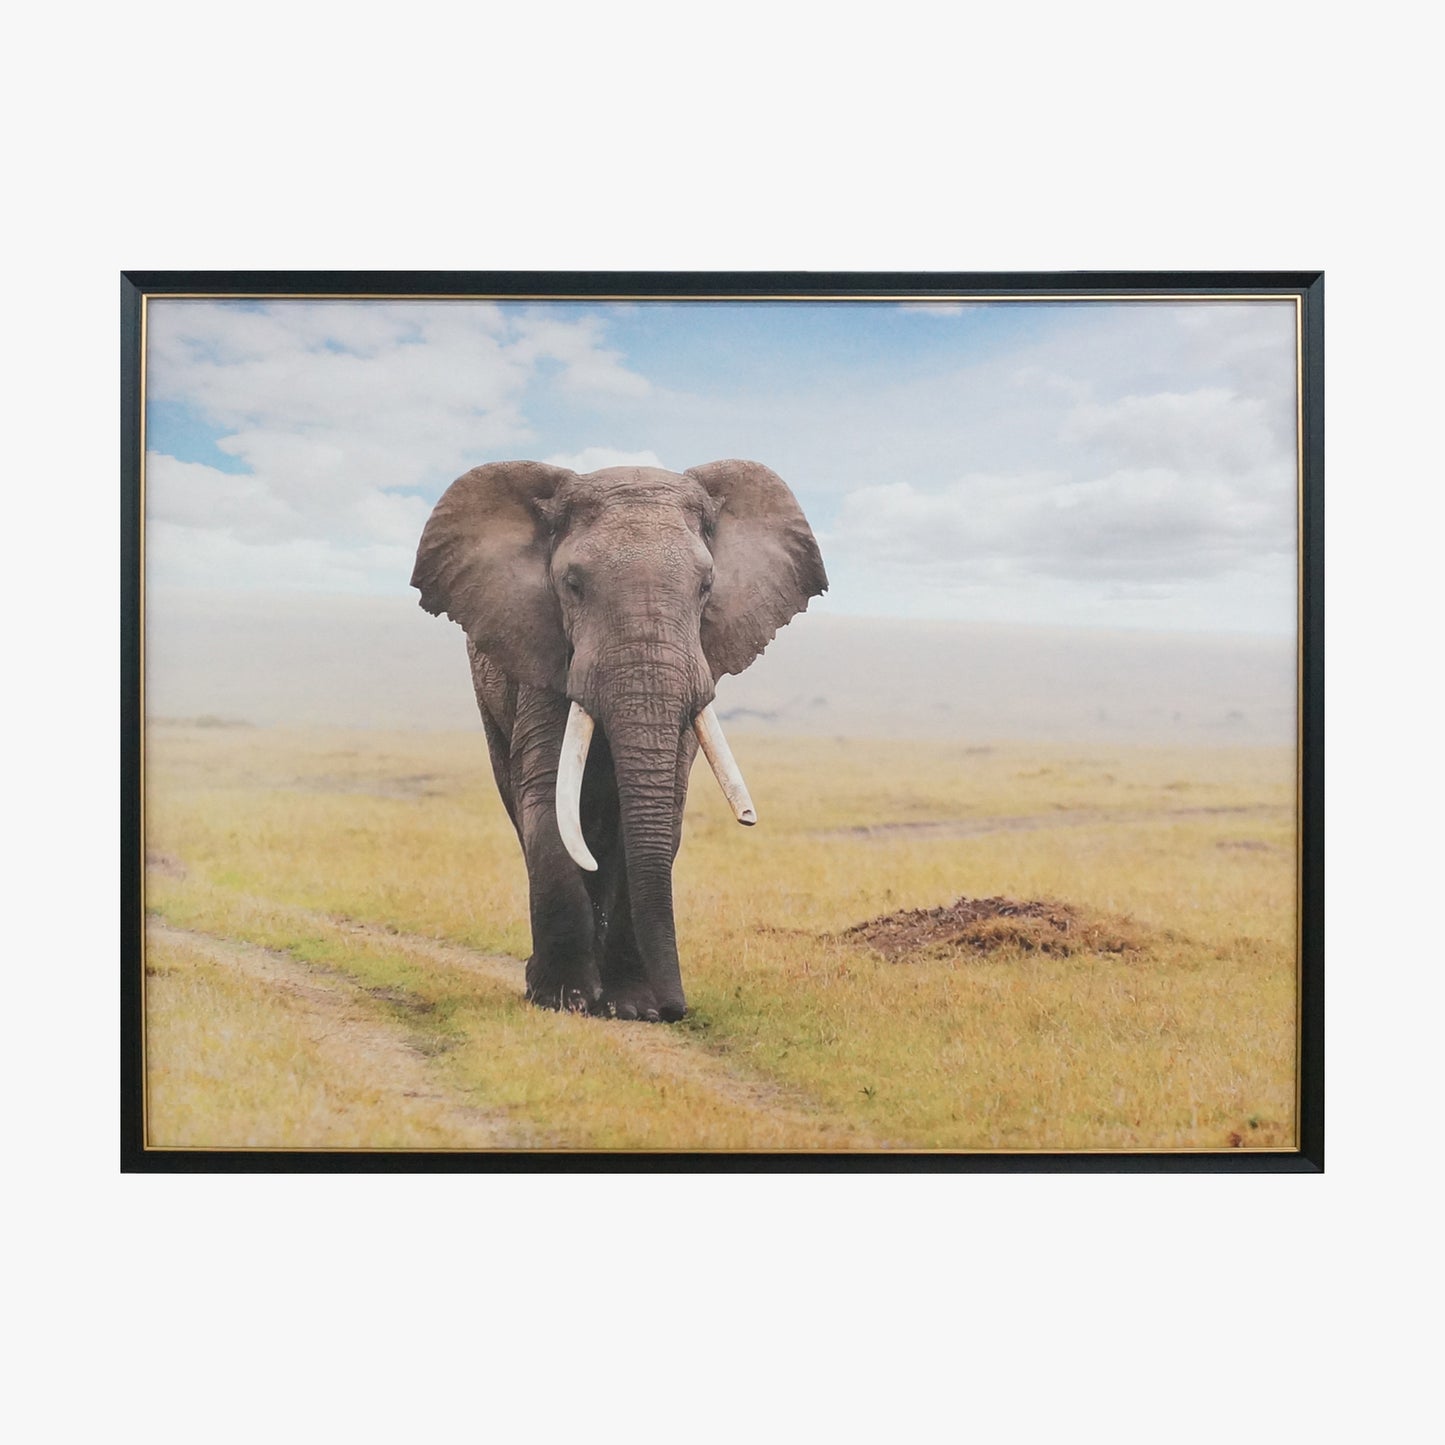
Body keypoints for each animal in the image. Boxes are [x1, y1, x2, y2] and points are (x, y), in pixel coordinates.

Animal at [411, 460, 827, 1021]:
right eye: (572, 585)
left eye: (706, 586)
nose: (678, 1010)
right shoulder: (544, 657)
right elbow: (548, 801)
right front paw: (563, 1001)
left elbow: (659, 814)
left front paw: (633, 1009)